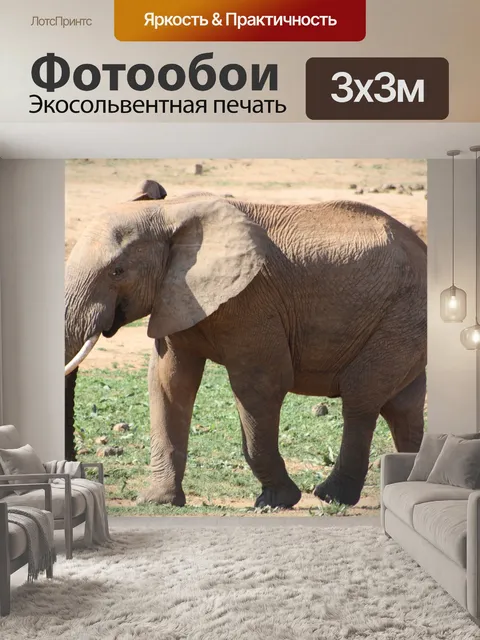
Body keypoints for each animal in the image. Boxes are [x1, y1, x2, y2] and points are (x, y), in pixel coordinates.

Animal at [65, 180, 427, 508]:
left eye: (117, 271)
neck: (169, 212)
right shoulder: (173, 296)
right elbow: (168, 383)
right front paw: (157, 502)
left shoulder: (251, 301)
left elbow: (259, 386)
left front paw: (275, 501)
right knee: (403, 406)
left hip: (402, 316)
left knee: (361, 398)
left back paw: (331, 496)